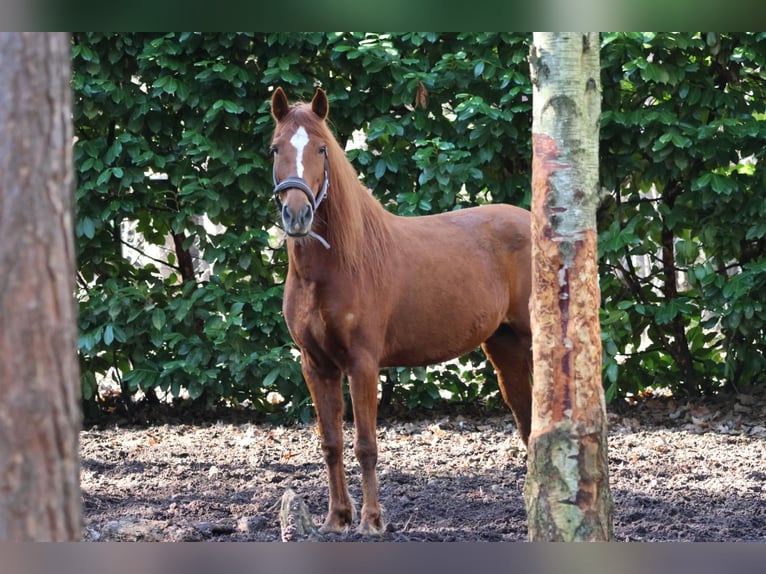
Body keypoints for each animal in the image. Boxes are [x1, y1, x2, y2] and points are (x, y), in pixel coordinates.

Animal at [269, 87, 533, 535]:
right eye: (275, 148)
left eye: (321, 149)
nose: (297, 215)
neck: (336, 266)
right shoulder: (316, 365)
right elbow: (331, 443)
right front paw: (336, 519)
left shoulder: (362, 364)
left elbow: (365, 445)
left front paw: (371, 521)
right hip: (505, 346)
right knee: (529, 418)